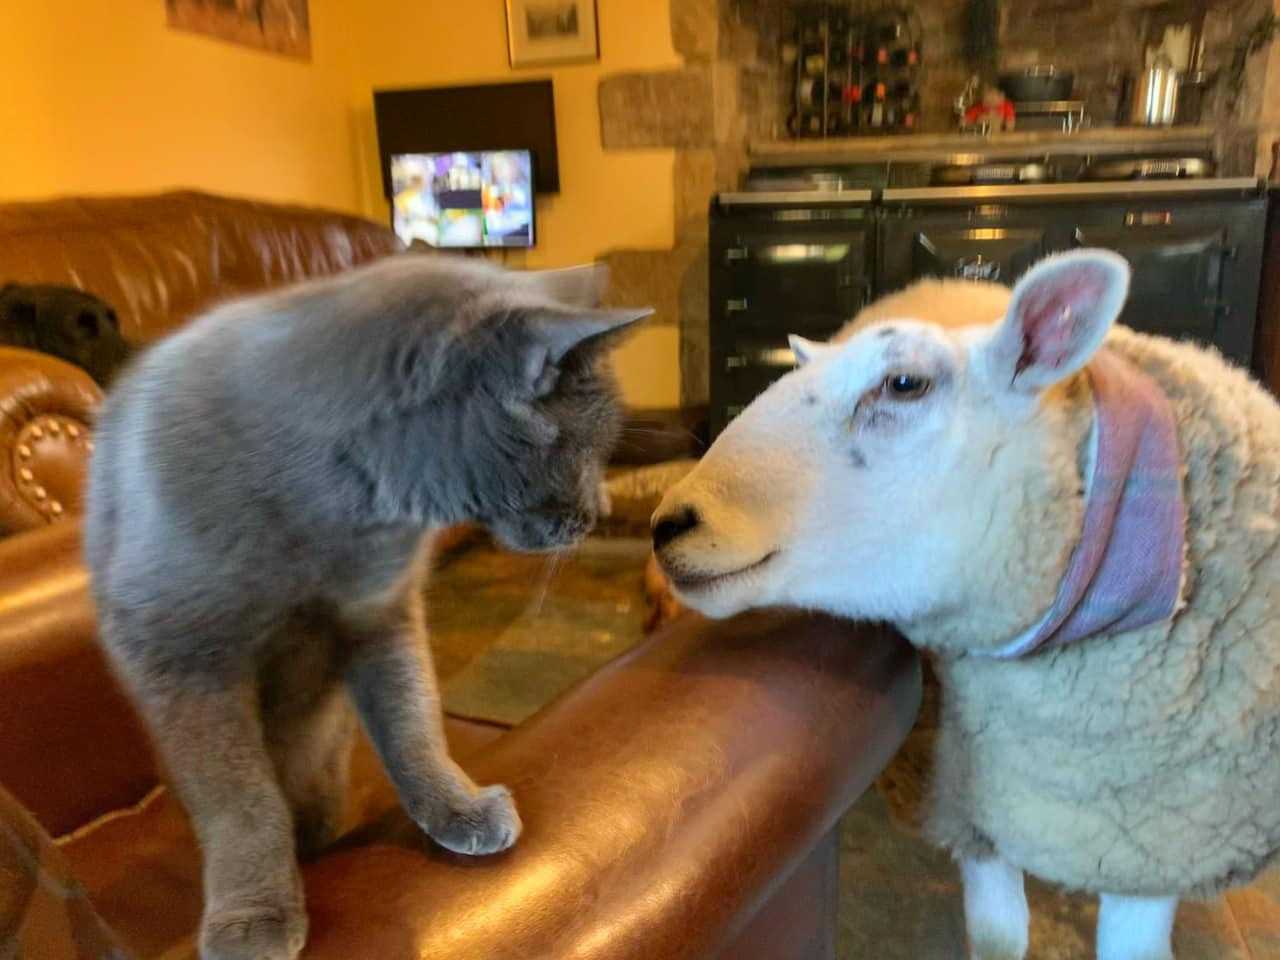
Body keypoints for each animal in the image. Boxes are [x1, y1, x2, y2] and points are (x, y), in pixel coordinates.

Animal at [83, 254, 650, 960]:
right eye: (586, 448)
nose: (603, 510)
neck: (336, 517)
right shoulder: (182, 657)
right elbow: (241, 798)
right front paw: (252, 919)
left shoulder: (381, 615)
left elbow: (413, 725)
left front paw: (460, 810)